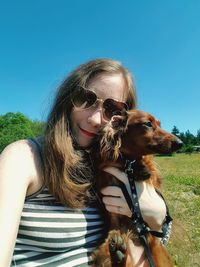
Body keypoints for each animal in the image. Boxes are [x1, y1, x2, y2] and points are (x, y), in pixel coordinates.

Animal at [92, 110, 183, 266]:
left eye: (159, 124)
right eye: (147, 123)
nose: (180, 143)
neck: (128, 161)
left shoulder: (152, 174)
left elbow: (146, 166)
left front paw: (141, 168)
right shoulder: (104, 171)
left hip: (158, 252)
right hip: (103, 252)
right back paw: (118, 251)